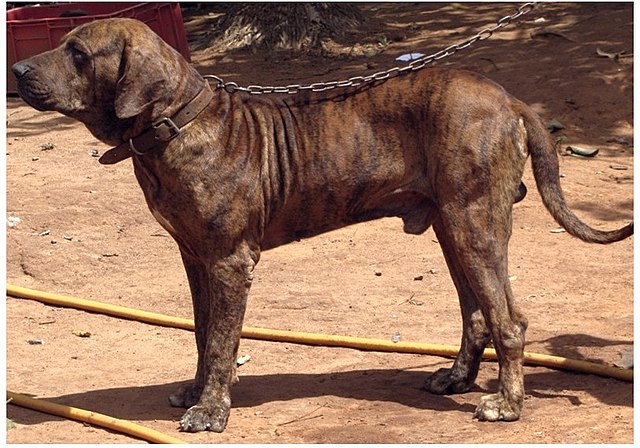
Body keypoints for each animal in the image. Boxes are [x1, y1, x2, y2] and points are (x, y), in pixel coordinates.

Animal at [12, 19, 632, 432]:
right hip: (452, 229)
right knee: (476, 313)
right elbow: (203, 332)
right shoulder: (196, 258)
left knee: (509, 320)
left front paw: (211, 409)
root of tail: (509, 100)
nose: (16, 68)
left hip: (474, 224)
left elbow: (223, 340)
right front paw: (197, 390)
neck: (176, 123)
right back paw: (456, 378)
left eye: (77, 52)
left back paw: (507, 404)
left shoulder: (229, 262)